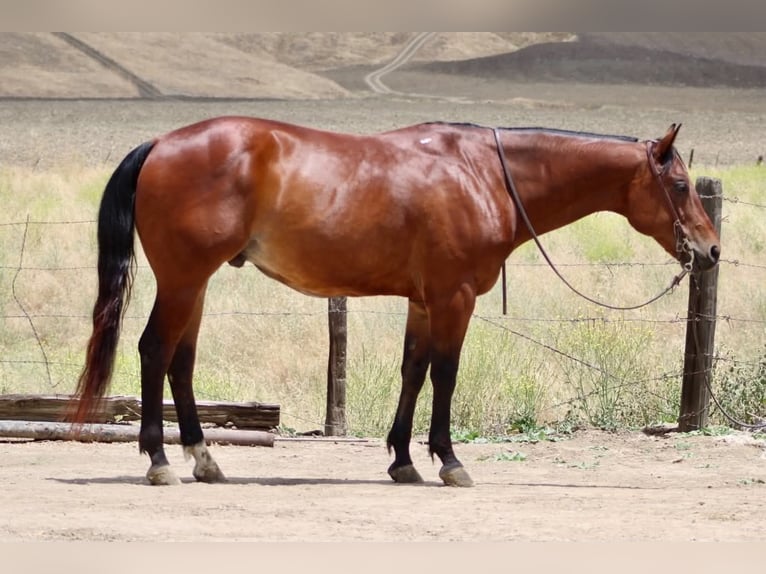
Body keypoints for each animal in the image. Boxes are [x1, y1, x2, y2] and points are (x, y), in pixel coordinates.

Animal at [71, 117, 720, 487]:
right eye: (680, 185)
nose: (710, 250)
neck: (482, 173)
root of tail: (161, 143)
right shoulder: (455, 297)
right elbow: (446, 374)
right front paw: (449, 460)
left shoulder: (424, 301)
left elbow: (413, 370)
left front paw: (403, 460)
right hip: (184, 280)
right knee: (155, 352)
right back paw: (159, 461)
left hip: (197, 284)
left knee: (180, 362)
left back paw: (204, 459)